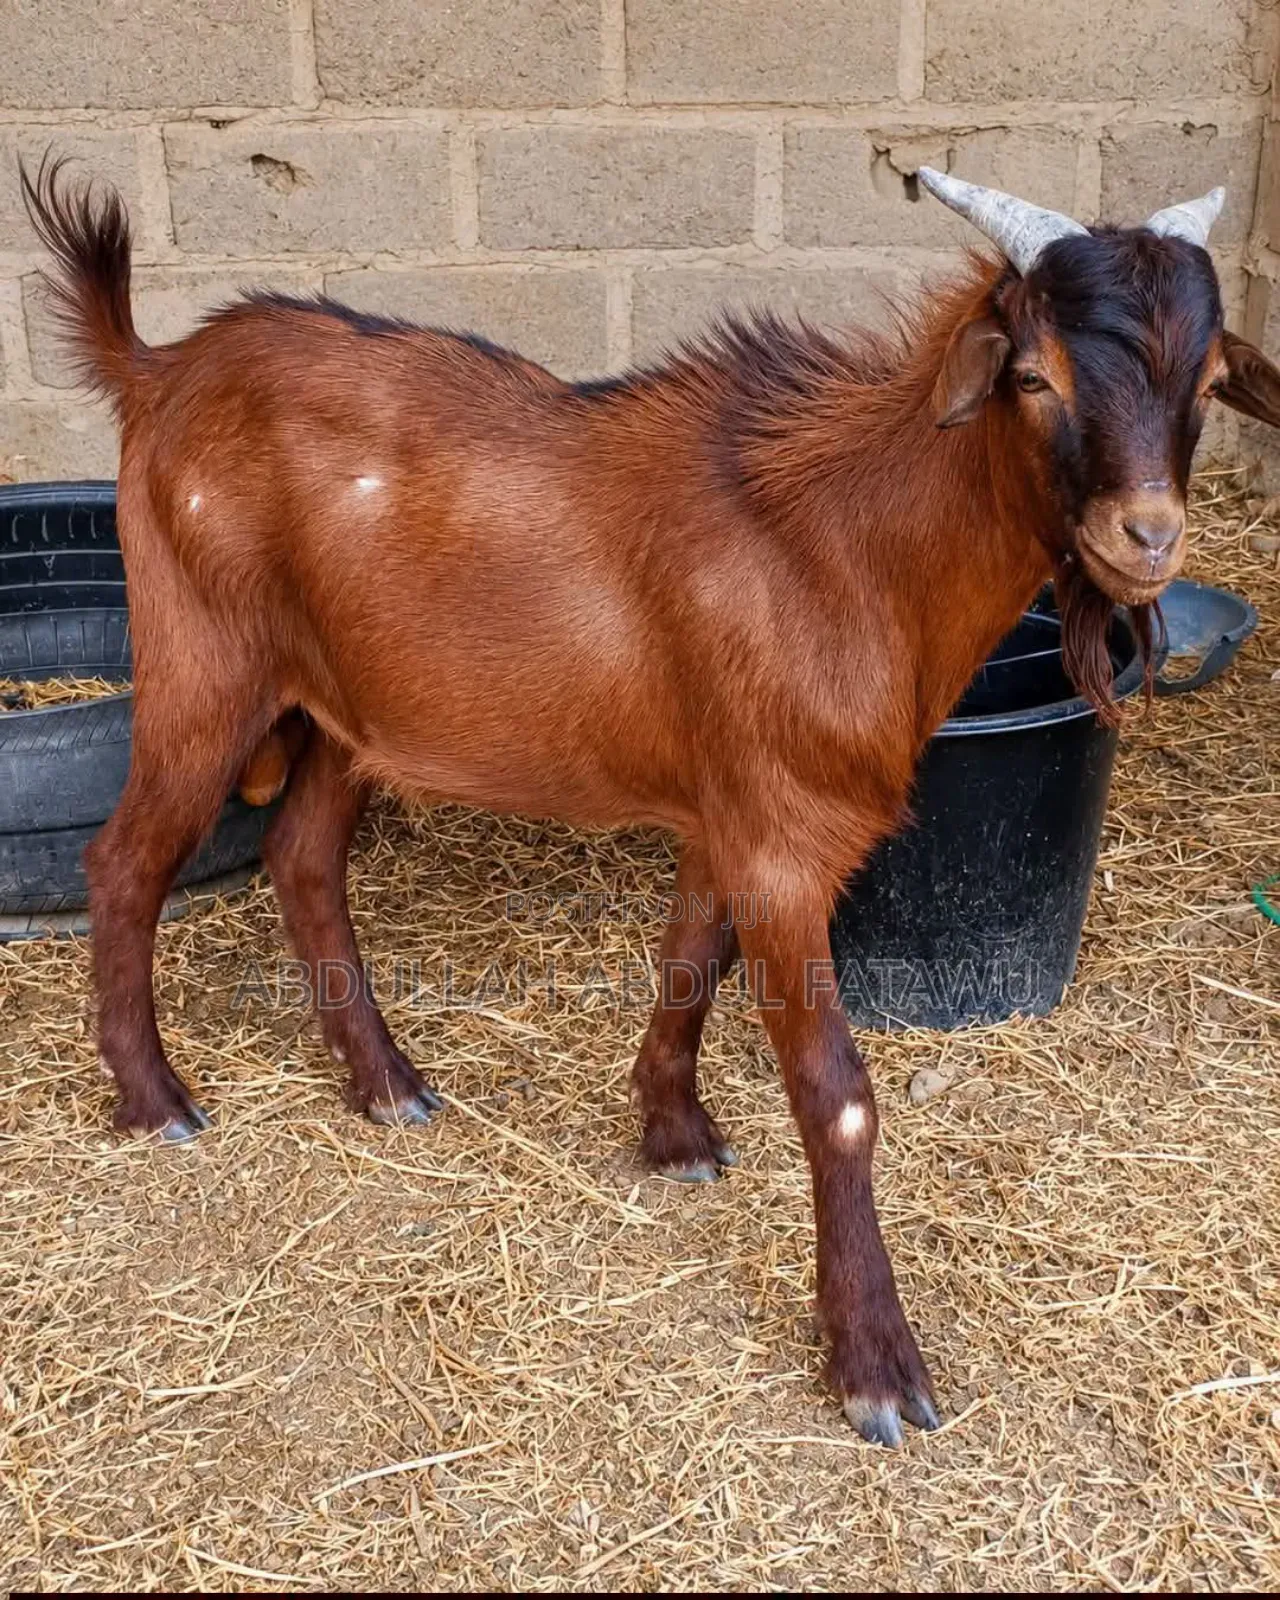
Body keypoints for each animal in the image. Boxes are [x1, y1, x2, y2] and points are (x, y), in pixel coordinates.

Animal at [23, 156, 1280, 1446]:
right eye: (1033, 375)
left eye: (1202, 380)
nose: (1145, 536)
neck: (845, 547)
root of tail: (159, 369)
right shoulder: (782, 842)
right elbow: (835, 1095)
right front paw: (875, 1367)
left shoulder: (730, 811)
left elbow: (690, 958)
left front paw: (670, 1133)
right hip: (204, 664)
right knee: (127, 860)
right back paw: (156, 1098)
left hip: (338, 709)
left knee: (302, 858)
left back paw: (387, 1085)